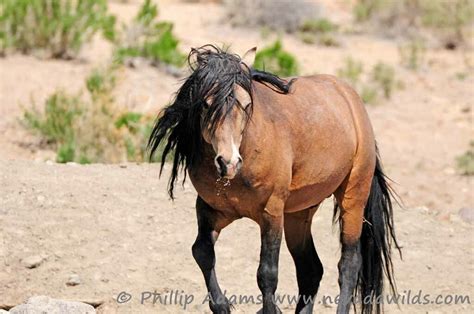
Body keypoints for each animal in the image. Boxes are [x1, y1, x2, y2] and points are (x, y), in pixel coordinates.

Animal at [148, 44, 400, 314]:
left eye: (247, 104)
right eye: (206, 104)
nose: (228, 162)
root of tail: (351, 99)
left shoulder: (271, 213)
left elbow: (267, 274)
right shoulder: (211, 210)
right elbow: (202, 252)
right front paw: (221, 305)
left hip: (352, 199)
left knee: (349, 264)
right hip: (299, 213)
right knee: (311, 269)